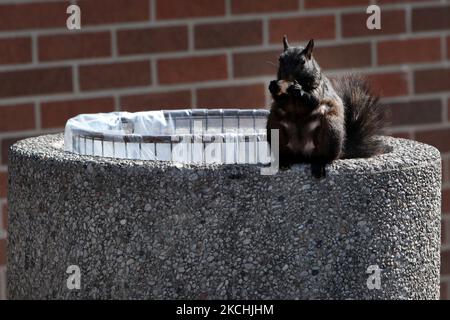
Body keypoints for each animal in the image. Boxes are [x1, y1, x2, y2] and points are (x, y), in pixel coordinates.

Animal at [268, 36, 384, 179]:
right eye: (280, 59)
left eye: (302, 61)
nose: (287, 77)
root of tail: (303, 154)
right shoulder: (284, 100)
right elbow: (280, 100)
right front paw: (273, 87)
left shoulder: (319, 87)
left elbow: (312, 99)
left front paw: (299, 90)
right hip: (275, 128)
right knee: (285, 153)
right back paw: (283, 161)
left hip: (330, 130)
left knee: (324, 156)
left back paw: (320, 163)